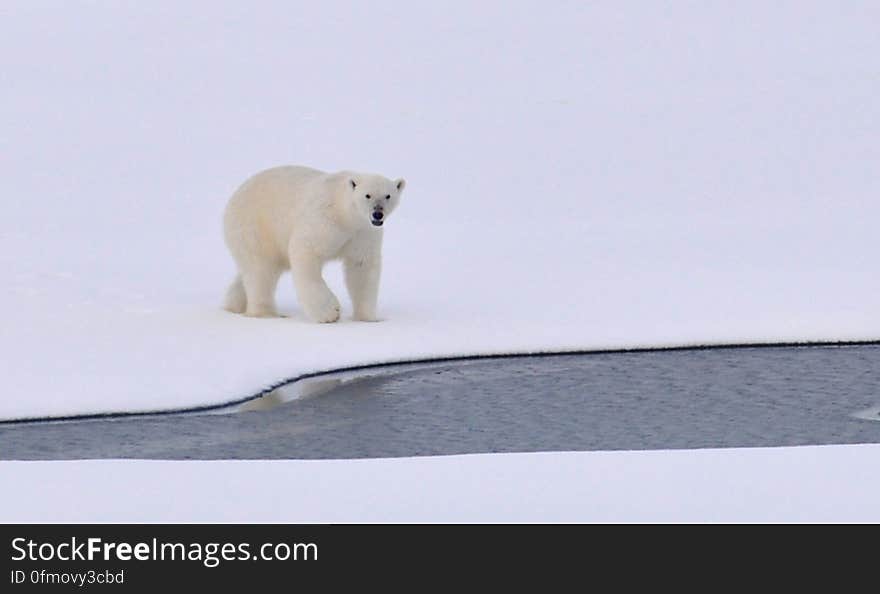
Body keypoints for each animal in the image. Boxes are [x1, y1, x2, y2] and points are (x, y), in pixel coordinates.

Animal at [225, 166, 408, 322]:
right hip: (255, 226)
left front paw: (368, 318)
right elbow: (306, 251)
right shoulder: (324, 220)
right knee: (260, 270)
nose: (377, 214)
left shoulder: (363, 233)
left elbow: (361, 267)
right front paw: (330, 312)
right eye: (367, 195)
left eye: (388, 196)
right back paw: (266, 314)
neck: (344, 214)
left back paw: (233, 304)